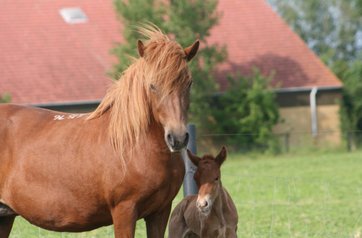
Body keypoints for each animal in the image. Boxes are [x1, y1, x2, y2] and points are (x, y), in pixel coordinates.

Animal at [0, 25, 199, 237]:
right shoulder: (124, 211)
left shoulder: (160, 212)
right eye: (152, 85)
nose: (177, 138)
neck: (134, 145)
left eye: (189, 83)